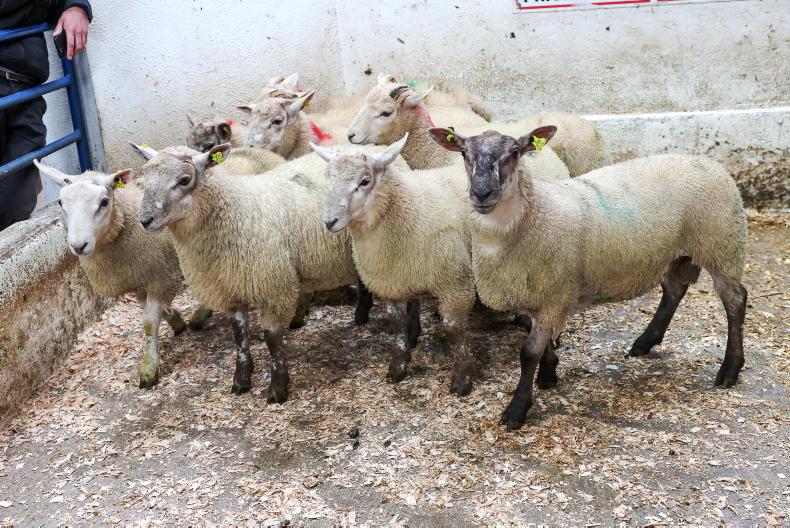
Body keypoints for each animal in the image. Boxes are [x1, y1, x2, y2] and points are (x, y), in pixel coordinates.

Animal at [33, 160, 212, 388]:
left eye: (104, 202)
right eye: (60, 203)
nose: (79, 246)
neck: (126, 219)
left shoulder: (161, 276)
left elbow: (149, 323)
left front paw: (149, 369)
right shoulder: (141, 279)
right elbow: (155, 311)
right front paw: (177, 321)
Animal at [133, 143, 371, 401]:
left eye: (185, 179)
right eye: (145, 175)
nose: (145, 220)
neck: (234, 212)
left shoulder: (274, 286)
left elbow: (272, 338)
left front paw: (278, 388)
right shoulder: (232, 288)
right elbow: (239, 334)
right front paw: (241, 380)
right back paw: (361, 314)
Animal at [313, 136, 479, 395]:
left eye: (365, 181)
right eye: (327, 179)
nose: (330, 222)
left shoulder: (455, 284)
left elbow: (453, 330)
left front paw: (462, 379)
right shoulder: (393, 283)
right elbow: (397, 325)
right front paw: (398, 367)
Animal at [429, 126, 748, 430]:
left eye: (516, 152)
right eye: (464, 153)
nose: (481, 194)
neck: (537, 213)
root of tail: (712, 164)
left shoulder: (555, 293)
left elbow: (528, 353)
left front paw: (517, 410)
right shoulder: (539, 292)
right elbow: (540, 341)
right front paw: (549, 373)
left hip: (722, 244)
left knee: (735, 300)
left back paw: (730, 369)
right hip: (679, 251)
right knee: (674, 288)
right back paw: (645, 342)